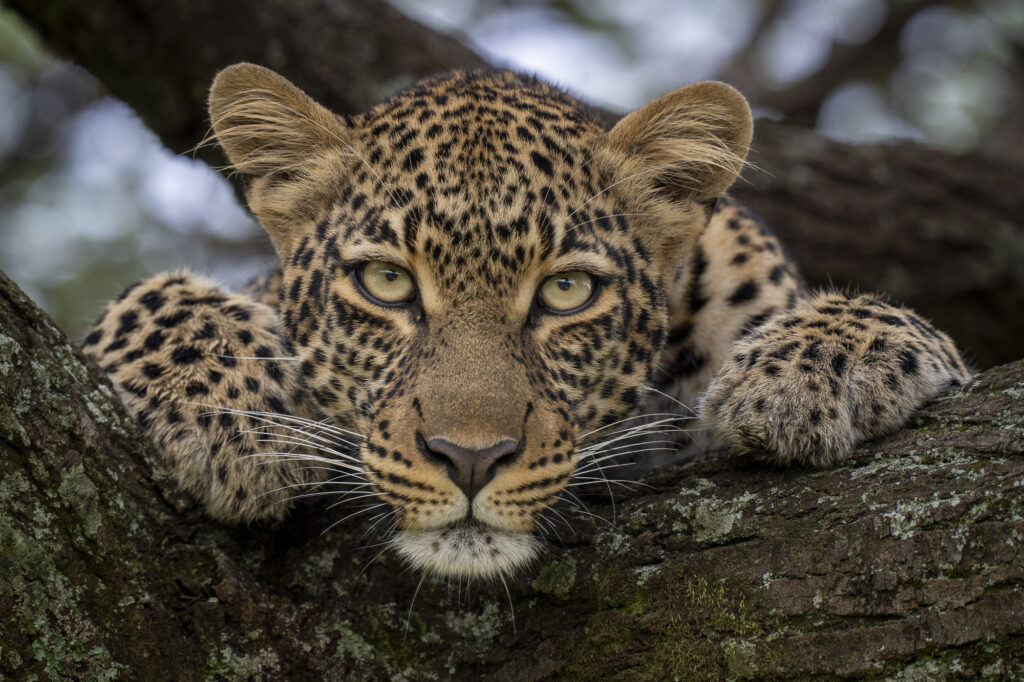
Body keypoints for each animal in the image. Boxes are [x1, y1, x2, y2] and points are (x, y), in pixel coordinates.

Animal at [81, 63, 971, 579]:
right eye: (385, 282)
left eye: (568, 291)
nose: (470, 460)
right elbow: (148, 299)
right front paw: (229, 425)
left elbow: (912, 328)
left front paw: (804, 374)